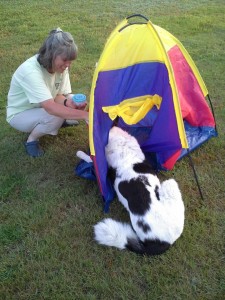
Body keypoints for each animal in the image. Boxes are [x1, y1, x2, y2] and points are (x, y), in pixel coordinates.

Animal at [77, 126, 185, 255]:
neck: (126, 151)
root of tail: (167, 242)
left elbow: (90, 159)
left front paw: (81, 154)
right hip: (172, 186)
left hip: (169, 184)